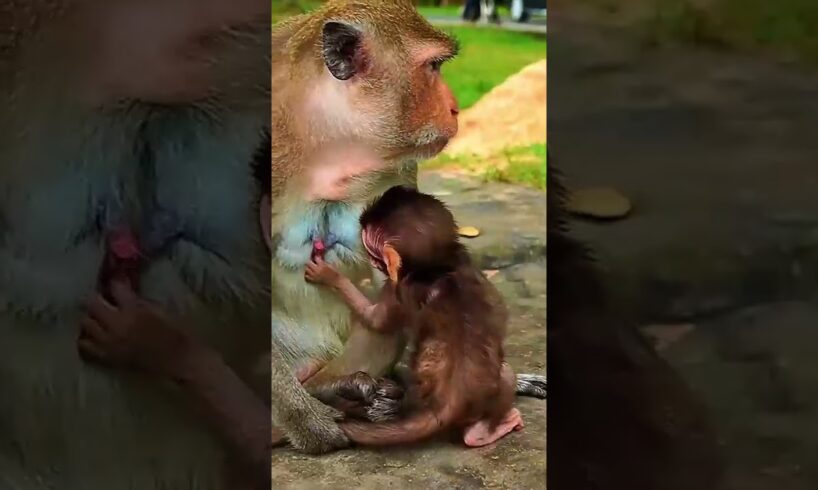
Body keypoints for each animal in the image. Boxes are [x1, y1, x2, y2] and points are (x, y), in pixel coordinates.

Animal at [303, 185, 527, 447]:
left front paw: (329, 275)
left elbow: (376, 320)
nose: (373, 262)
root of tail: (448, 405)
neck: (435, 268)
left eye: (373, 253)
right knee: (506, 375)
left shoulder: (398, 287)